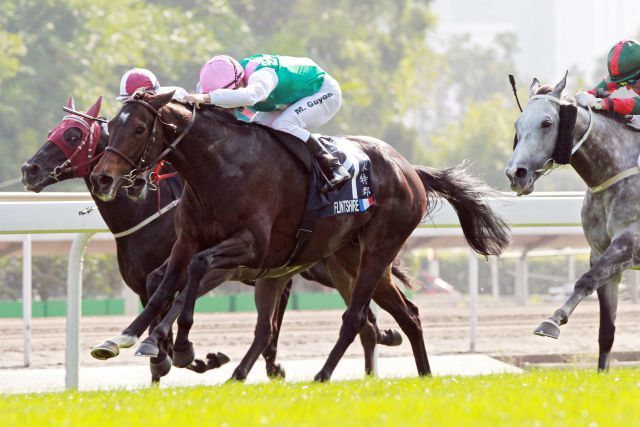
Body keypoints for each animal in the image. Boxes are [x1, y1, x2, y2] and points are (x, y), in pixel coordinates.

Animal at [23, 96, 404, 378]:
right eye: (55, 130)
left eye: (73, 135)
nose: (29, 170)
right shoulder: (164, 267)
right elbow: (160, 293)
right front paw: (162, 350)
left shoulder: (225, 265)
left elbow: (179, 293)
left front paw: (184, 354)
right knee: (361, 318)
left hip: (339, 266)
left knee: (368, 316)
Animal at [91, 90, 510, 382]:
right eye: (112, 127)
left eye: (139, 128)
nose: (102, 178)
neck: (220, 166)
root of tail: (409, 169)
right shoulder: (188, 240)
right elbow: (162, 287)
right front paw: (125, 338)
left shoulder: (250, 247)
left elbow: (195, 271)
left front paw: (180, 346)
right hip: (351, 257)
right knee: (409, 315)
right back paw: (424, 376)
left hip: (378, 251)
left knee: (356, 317)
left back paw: (322, 376)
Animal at [504, 73, 640, 372]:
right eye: (518, 124)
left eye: (546, 122)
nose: (515, 173)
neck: (616, 171)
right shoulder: (601, 252)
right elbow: (606, 331)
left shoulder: (628, 243)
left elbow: (585, 281)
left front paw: (551, 321)